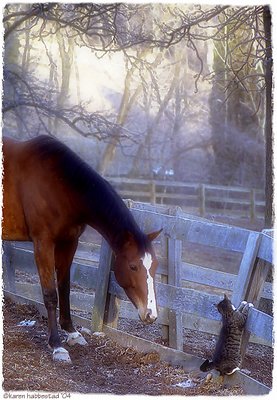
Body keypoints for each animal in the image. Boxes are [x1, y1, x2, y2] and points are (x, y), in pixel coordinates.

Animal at [1, 134, 162, 362]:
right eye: (133, 266)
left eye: (155, 266)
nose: (151, 314)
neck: (60, 186)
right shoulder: (43, 243)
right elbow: (50, 294)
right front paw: (57, 345)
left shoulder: (69, 242)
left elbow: (65, 288)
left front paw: (72, 333)